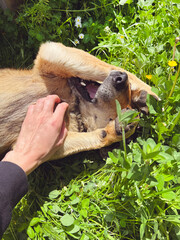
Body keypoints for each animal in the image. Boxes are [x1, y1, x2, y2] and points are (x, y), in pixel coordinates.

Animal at [0, 42, 158, 160]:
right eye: (116, 107)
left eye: (112, 116)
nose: (120, 78)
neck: (73, 105)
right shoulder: (51, 52)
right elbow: (110, 68)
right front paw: (147, 93)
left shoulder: (40, 144)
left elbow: (95, 138)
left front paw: (116, 129)